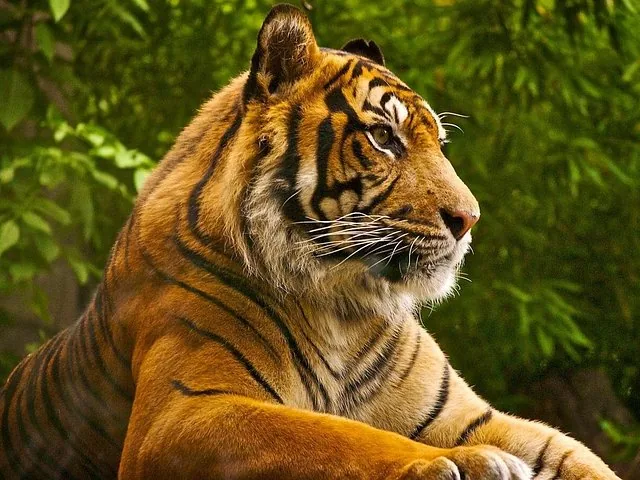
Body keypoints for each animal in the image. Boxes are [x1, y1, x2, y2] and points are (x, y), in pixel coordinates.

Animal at [0, 4, 622, 479]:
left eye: (440, 145)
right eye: (383, 136)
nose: (469, 218)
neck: (343, 306)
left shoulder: (472, 416)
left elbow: (577, 455)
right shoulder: (182, 412)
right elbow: (338, 436)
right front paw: (461, 463)